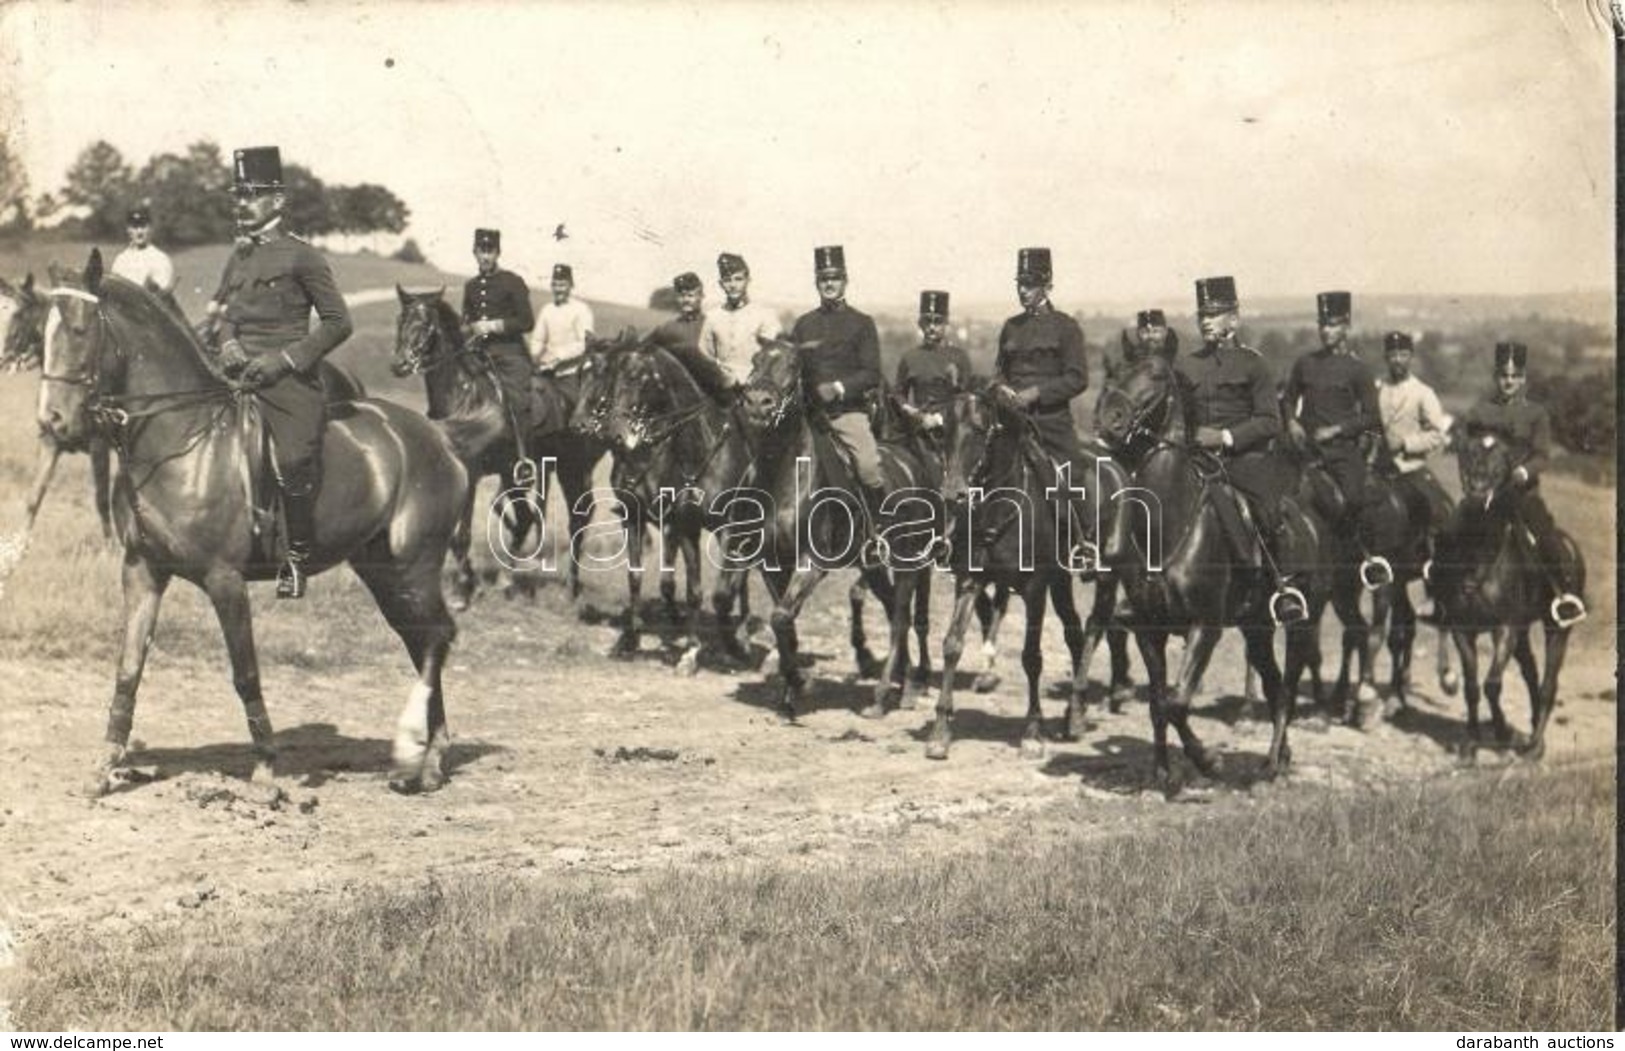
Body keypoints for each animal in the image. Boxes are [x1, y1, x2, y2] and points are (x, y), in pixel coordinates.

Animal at [38, 253, 468, 799]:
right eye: (44, 332)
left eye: (79, 330)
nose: (52, 422)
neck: (180, 437)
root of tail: (439, 435)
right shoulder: (142, 570)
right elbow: (128, 668)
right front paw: (103, 766)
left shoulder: (224, 579)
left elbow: (245, 673)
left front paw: (265, 768)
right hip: (382, 570)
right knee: (423, 638)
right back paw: (429, 755)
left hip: (415, 564)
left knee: (437, 637)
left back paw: (418, 752)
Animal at [391, 292, 604, 614]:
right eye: (400, 320)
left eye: (425, 324)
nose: (400, 365)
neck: (463, 397)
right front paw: (471, 584)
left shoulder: (471, 474)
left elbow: (462, 535)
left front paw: (461, 592)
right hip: (525, 472)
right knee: (527, 517)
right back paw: (510, 579)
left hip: (572, 469)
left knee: (577, 518)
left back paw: (570, 588)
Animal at [565, 346, 754, 669]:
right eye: (580, 373)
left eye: (638, 378)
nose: (578, 425)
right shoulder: (639, 518)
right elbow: (640, 577)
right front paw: (631, 640)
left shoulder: (680, 524)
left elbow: (688, 585)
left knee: (742, 578)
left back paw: (742, 635)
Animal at [1085, 357, 1326, 786]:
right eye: (1116, 372)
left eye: (1156, 374)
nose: (1109, 420)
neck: (1169, 521)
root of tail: (1308, 521)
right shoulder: (1149, 629)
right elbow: (1158, 704)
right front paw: (1161, 775)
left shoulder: (1205, 626)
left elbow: (1177, 701)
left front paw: (1208, 761)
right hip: (1256, 629)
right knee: (1273, 683)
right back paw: (1280, 757)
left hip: (1300, 624)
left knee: (1286, 689)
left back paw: (1271, 765)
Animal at [1436, 432, 1586, 760]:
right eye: (1468, 451)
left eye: (1502, 457)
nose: (1478, 485)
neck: (1480, 555)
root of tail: (1569, 544)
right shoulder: (1463, 629)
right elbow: (1471, 686)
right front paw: (1471, 745)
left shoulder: (1505, 628)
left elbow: (1492, 684)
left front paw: (1502, 732)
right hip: (1523, 633)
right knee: (1531, 673)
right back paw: (1531, 734)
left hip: (1556, 628)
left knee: (1548, 683)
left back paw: (1533, 746)